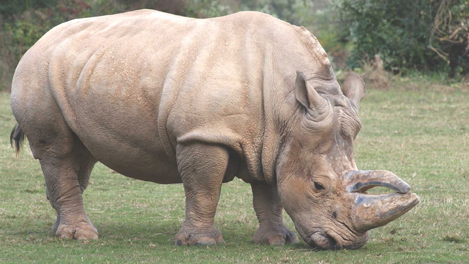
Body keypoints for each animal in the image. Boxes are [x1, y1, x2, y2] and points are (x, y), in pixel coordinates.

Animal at [10, 9, 416, 250]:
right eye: (318, 186)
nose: (346, 243)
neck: (288, 108)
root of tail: (40, 40)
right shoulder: (204, 133)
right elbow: (204, 187)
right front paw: (202, 243)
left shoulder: (274, 139)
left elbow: (269, 189)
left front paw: (275, 241)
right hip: (36, 70)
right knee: (58, 150)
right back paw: (81, 237)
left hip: (83, 71)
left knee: (80, 157)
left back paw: (62, 231)